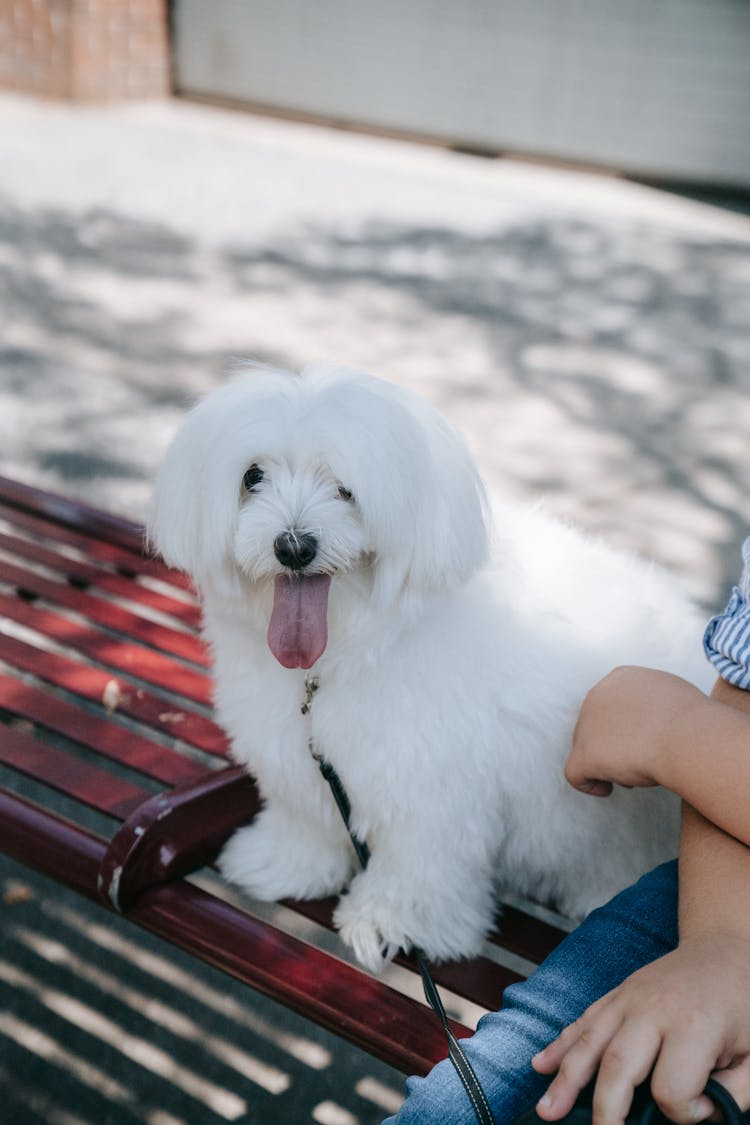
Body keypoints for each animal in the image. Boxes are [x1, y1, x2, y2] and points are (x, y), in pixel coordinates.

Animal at [149, 366, 715, 976]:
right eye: (252, 476)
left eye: (346, 488)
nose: (294, 546)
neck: (345, 648)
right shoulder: (303, 759)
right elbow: (308, 821)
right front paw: (285, 863)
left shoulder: (432, 789)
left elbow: (418, 865)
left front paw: (391, 921)